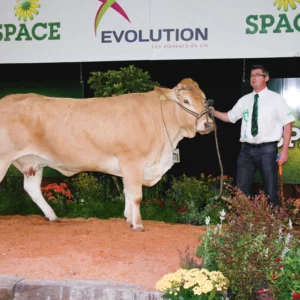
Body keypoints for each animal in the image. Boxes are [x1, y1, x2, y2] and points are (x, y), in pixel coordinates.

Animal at [0, 78, 216, 231]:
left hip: (34, 162)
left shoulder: (128, 166)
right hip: (4, 158)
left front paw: (129, 218)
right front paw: (138, 225)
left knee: (32, 189)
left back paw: (52, 216)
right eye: (185, 101)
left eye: (204, 99)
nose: (207, 124)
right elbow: (136, 195)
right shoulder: (132, 160)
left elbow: (128, 192)